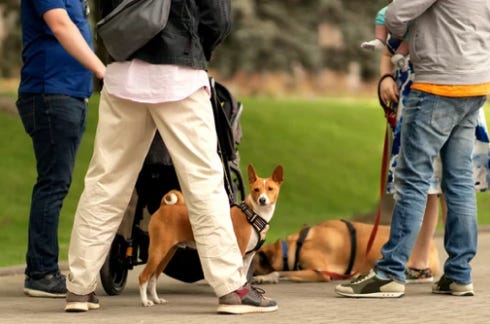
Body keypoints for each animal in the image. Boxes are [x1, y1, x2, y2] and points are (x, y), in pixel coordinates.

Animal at [138, 165, 284, 306]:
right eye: (256, 190)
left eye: (270, 189)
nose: (262, 200)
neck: (252, 215)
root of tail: (164, 207)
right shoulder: (240, 252)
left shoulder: (248, 256)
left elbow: (243, 278)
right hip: (158, 250)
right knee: (143, 277)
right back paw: (145, 302)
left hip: (168, 253)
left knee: (153, 278)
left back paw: (156, 299)